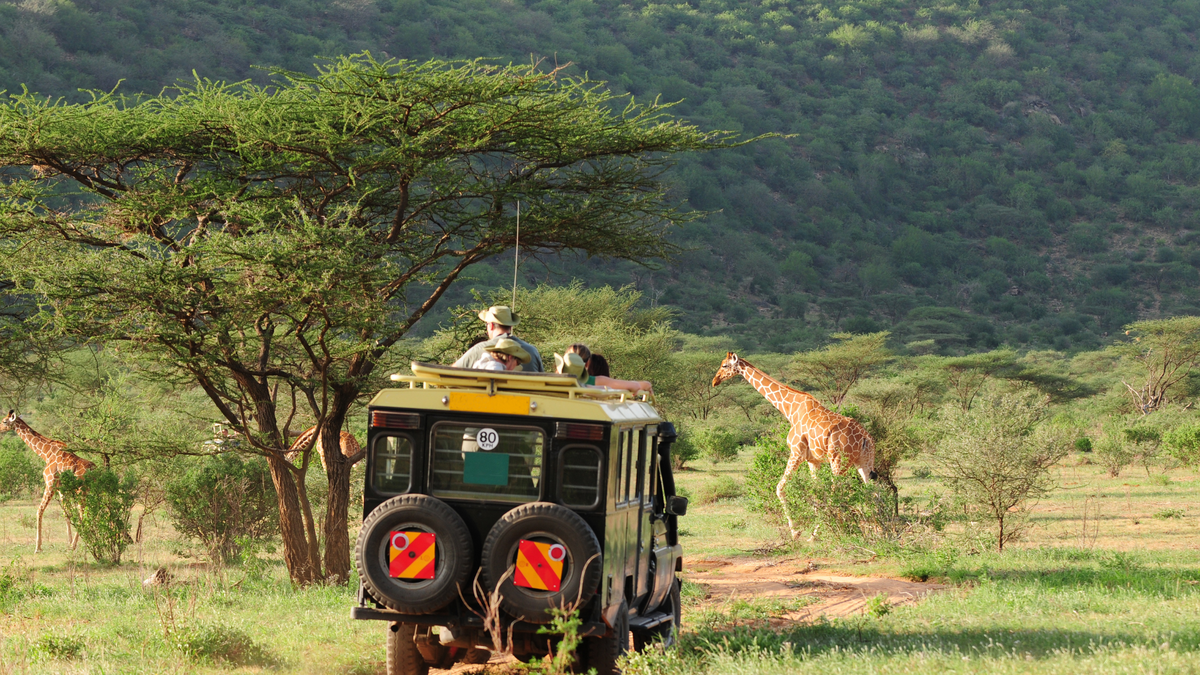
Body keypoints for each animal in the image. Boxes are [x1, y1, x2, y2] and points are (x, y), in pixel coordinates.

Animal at [0, 410, 96, 552]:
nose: (0, 428)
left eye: (4, 421)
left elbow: (39, 510)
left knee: (83, 514)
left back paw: (77, 545)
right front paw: (68, 542)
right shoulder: (61, 488)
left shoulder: (50, 483)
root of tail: (94, 469)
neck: (45, 453)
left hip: (81, 491)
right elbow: (66, 514)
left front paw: (38, 547)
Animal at [711, 353, 876, 539]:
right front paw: (819, 530)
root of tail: (865, 438)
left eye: (724, 365)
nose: (715, 381)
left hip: (839, 461)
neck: (790, 409)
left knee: (838, 491)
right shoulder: (813, 460)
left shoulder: (797, 453)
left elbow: (780, 488)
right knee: (873, 491)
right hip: (864, 462)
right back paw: (879, 530)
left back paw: (831, 532)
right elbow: (816, 491)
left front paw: (796, 532)